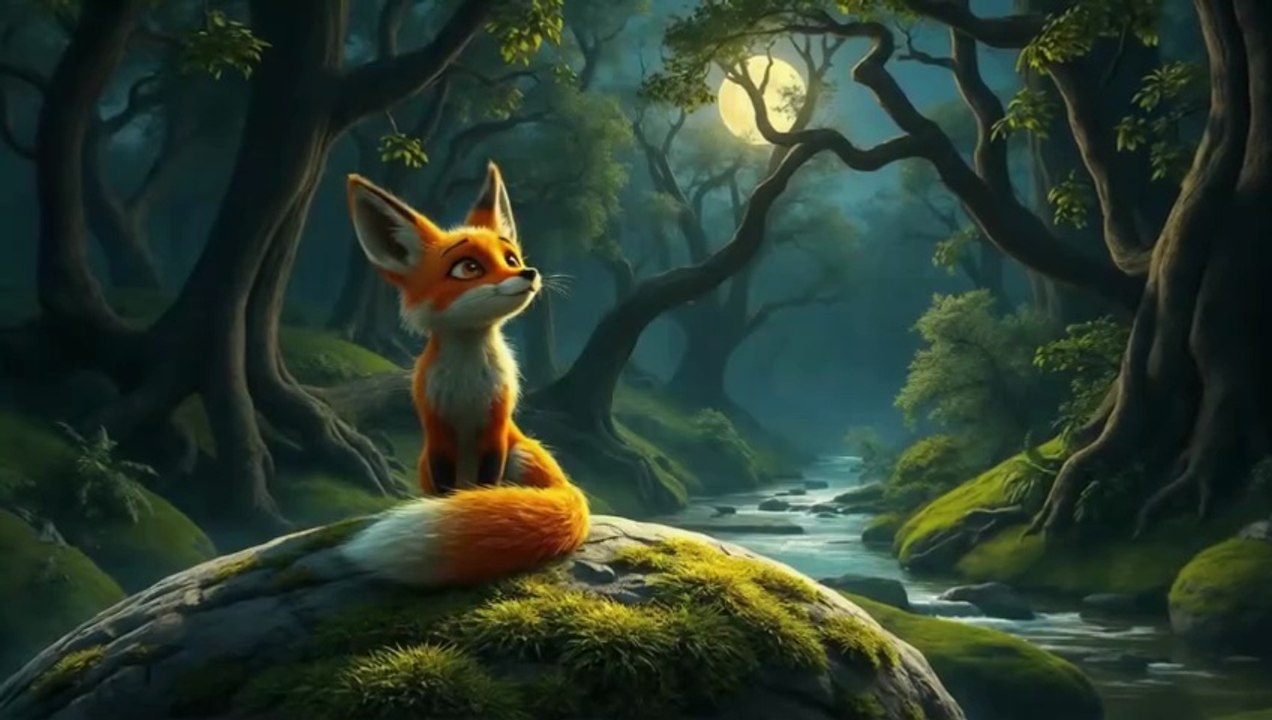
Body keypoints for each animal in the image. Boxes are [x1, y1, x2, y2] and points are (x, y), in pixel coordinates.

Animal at [338, 161, 589, 587]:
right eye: (468, 267)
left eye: (510, 257)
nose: (528, 272)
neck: (468, 383)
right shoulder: (437, 431)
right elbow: (446, 491)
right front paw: (455, 509)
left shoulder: (495, 426)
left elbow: (484, 486)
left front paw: (477, 507)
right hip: (426, 462)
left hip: (521, 453)